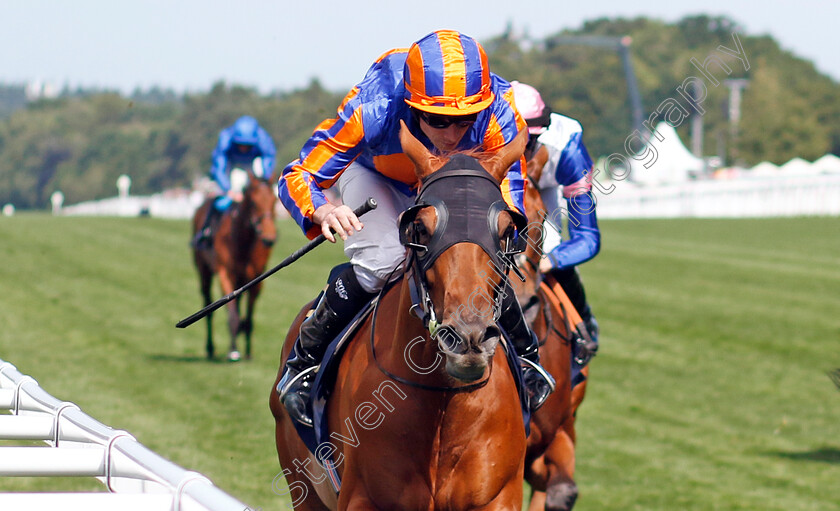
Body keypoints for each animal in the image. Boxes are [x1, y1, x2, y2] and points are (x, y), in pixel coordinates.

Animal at [190, 170, 276, 362]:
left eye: (274, 200)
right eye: (254, 202)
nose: (269, 238)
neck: (242, 241)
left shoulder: (256, 278)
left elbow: (249, 318)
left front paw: (248, 351)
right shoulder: (225, 274)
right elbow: (232, 316)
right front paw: (233, 350)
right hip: (204, 270)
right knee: (209, 306)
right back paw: (210, 348)